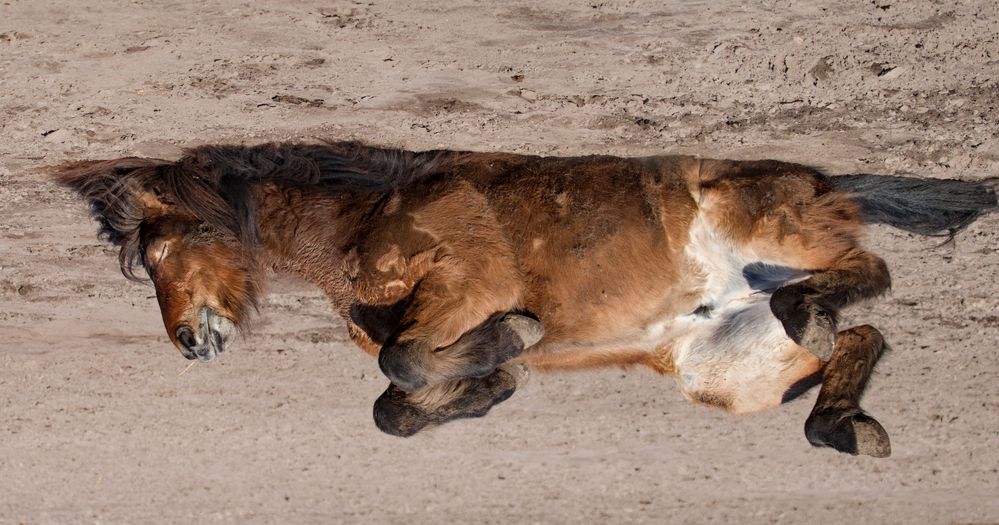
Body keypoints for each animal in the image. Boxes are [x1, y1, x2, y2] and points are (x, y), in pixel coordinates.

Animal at [52, 141, 992, 456]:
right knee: (858, 337)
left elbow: (404, 358)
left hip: (757, 225)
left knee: (864, 275)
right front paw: (495, 382)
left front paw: (514, 338)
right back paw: (844, 425)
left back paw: (819, 335)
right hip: (722, 369)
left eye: (160, 250)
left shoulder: (465, 284)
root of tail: (824, 181)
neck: (365, 220)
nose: (187, 339)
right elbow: (393, 405)